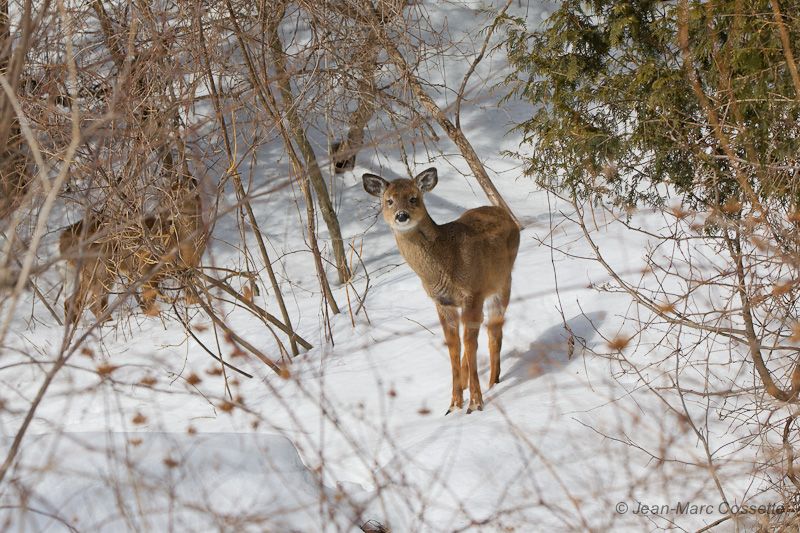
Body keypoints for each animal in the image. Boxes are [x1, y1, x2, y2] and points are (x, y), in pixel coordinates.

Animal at [364, 166, 524, 412]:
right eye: (388, 200)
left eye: (414, 198)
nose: (402, 215)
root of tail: (504, 213)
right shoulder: (442, 303)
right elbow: (453, 347)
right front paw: (454, 404)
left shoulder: (472, 293)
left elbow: (470, 344)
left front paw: (475, 404)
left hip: (502, 282)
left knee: (494, 331)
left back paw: (493, 383)